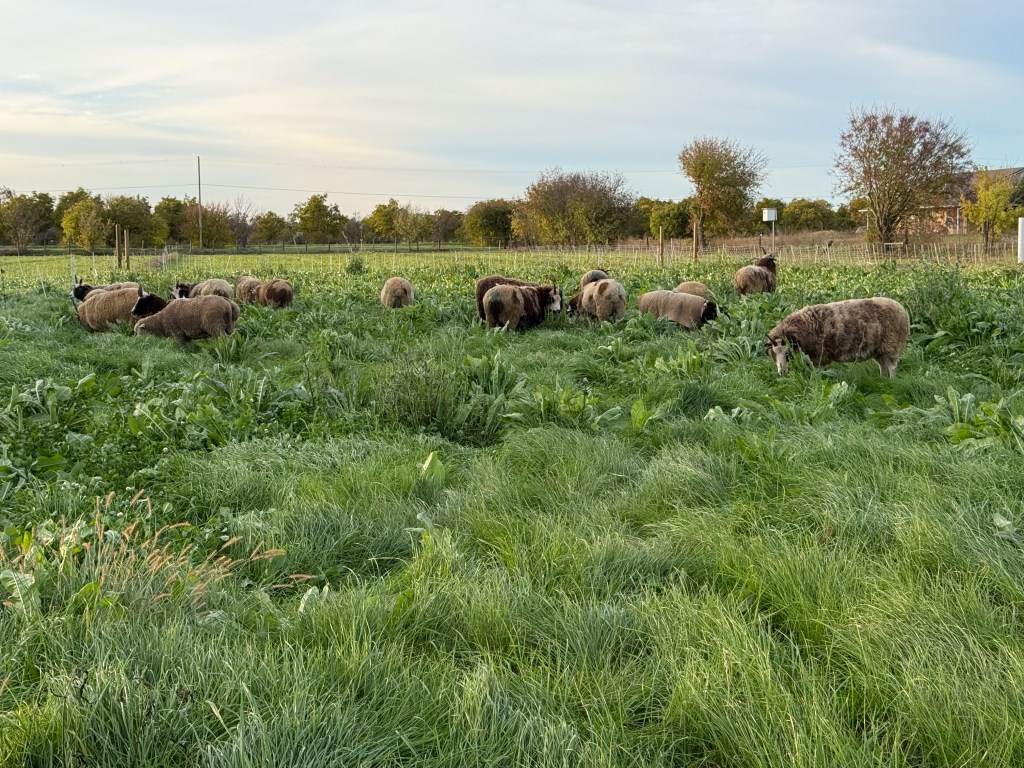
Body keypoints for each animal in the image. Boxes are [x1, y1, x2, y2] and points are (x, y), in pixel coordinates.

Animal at [765, 297, 910, 377]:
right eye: (773, 353)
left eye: (787, 353)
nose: (782, 372)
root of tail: (902, 309)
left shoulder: (819, 357)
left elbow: (818, 374)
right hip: (879, 350)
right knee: (883, 366)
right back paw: (883, 380)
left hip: (892, 344)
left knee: (892, 367)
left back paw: (892, 382)